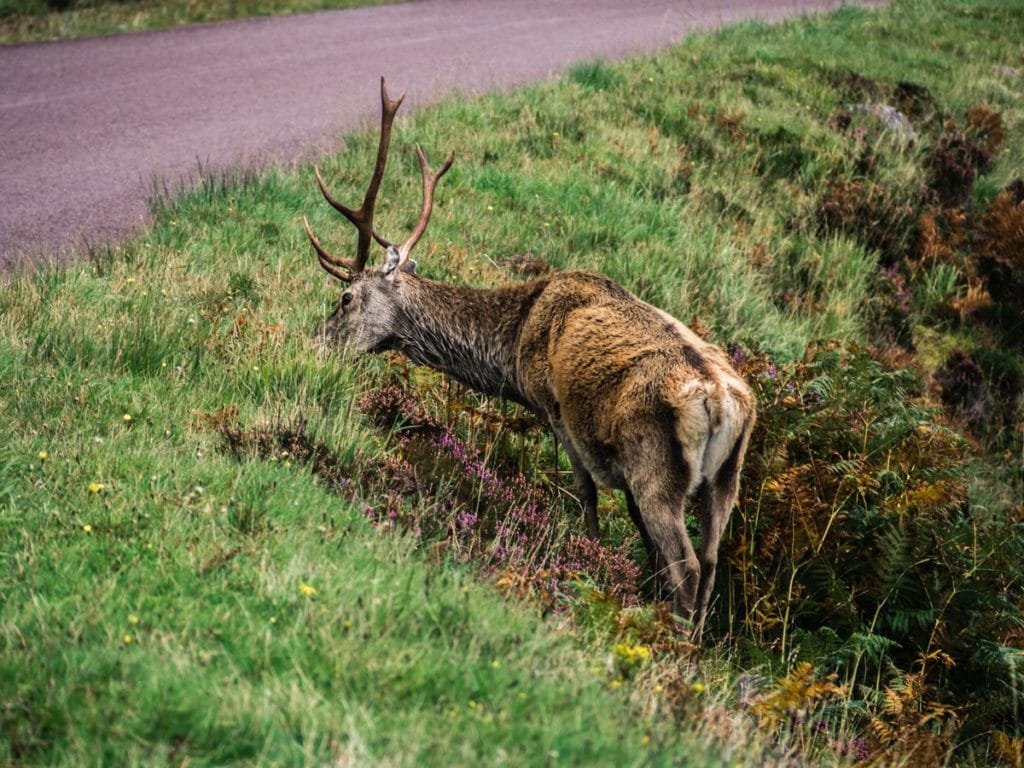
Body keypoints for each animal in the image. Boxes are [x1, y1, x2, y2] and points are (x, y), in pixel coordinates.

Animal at [301, 79, 753, 643]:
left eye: (345, 298)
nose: (314, 342)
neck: (515, 348)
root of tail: (721, 402)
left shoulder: (558, 412)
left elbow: (587, 497)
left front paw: (592, 569)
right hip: (726, 477)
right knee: (710, 561)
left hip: (655, 465)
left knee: (688, 566)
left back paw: (674, 642)